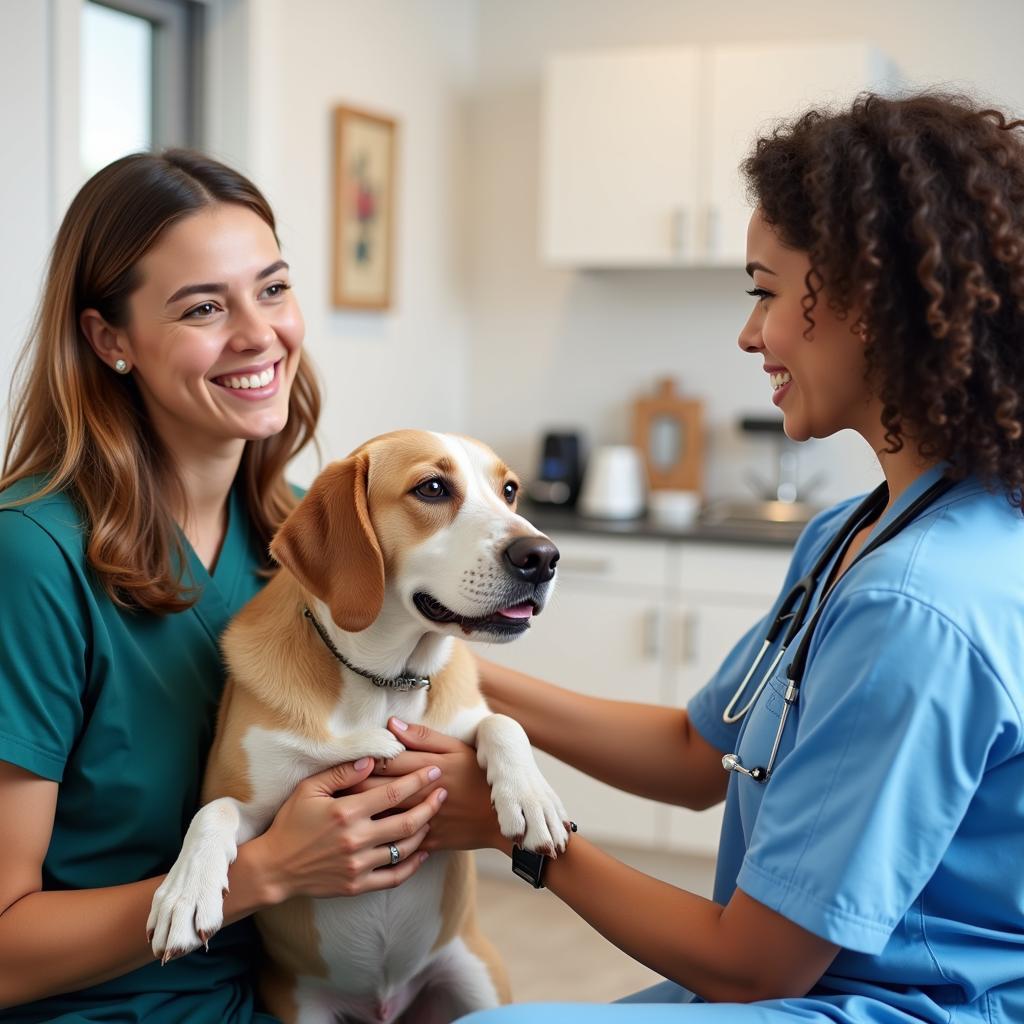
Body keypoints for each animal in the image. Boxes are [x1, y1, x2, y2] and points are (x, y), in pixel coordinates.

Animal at [149, 432, 573, 1024]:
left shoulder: (462, 722)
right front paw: (184, 895)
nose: (543, 557)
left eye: (510, 490)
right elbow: (214, 813)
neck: (383, 681)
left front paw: (533, 798)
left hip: (478, 979)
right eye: (432, 488)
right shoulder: (259, 809)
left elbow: (504, 723)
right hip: (304, 1008)